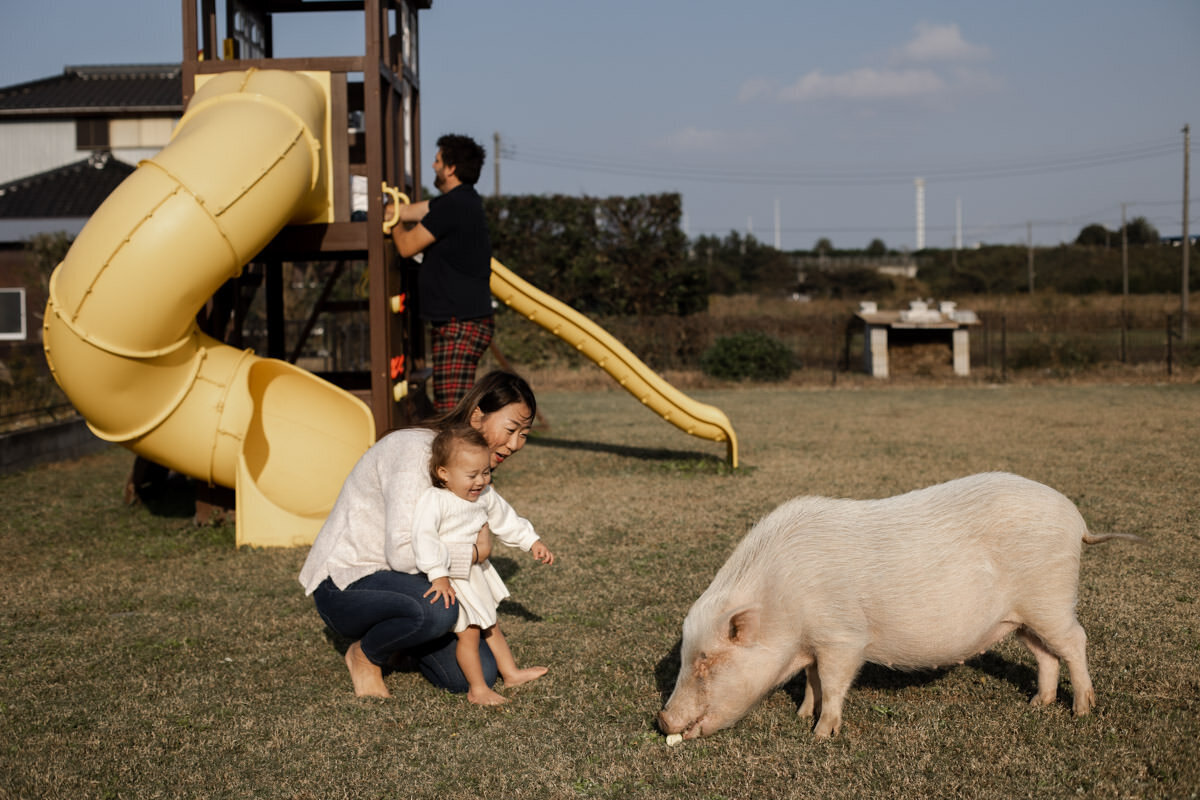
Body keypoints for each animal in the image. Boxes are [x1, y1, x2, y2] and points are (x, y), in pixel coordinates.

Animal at [662, 472, 1137, 743]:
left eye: (705, 661)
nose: (662, 722)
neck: (781, 603)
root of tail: (1077, 520)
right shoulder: (813, 644)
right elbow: (812, 680)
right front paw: (800, 716)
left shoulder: (842, 637)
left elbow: (832, 683)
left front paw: (819, 736)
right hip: (1021, 618)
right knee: (1044, 655)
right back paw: (1037, 705)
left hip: (1051, 598)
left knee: (1075, 642)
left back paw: (1081, 710)